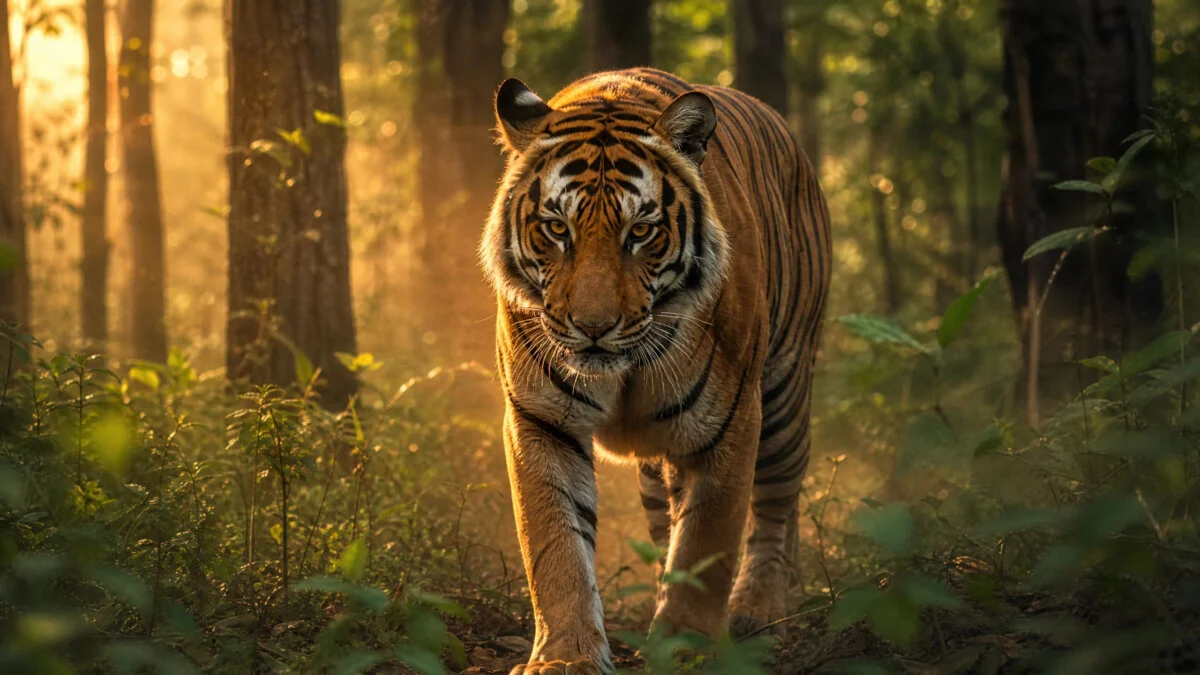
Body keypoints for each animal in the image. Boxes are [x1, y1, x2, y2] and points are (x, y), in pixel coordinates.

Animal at [481, 67, 831, 675]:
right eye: (556, 229)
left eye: (640, 232)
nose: (593, 327)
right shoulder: (540, 419)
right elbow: (555, 545)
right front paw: (566, 657)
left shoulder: (729, 420)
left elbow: (708, 540)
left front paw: (688, 647)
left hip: (784, 395)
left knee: (776, 508)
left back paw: (759, 607)